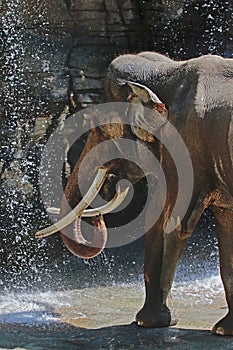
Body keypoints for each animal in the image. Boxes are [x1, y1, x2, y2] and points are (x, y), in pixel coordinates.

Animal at [36, 52, 233, 336]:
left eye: (102, 128)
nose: (97, 215)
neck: (168, 69)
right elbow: (227, 225)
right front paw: (224, 330)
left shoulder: (186, 144)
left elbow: (174, 221)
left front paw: (148, 322)